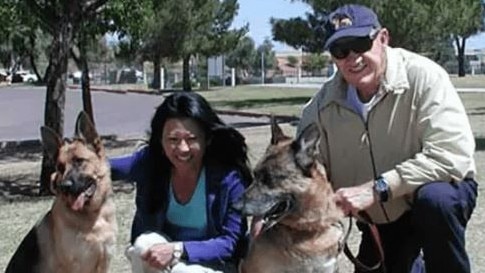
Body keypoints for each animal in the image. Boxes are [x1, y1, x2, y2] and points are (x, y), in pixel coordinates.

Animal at [5, 111, 117, 272]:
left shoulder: (104, 261)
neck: (91, 215)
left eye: (79, 161)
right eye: (60, 167)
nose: (65, 186)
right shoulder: (74, 265)